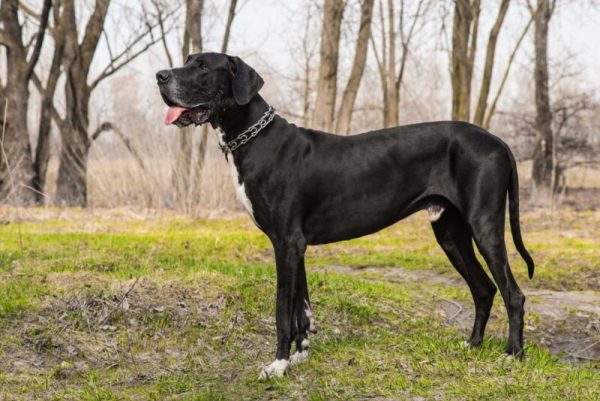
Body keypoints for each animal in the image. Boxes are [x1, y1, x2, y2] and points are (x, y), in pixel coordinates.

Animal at [156, 52, 536, 378]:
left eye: (203, 67)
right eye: (187, 60)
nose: (160, 75)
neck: (254, 138)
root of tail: (500, 142)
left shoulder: (285, 243)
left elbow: (282, 311)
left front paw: (278, 365)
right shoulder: (296, 246)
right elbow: (302, 308)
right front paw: (299, 356)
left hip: (484, 225)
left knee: (513, 293)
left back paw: (512, 355)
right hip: (450, 233)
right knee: (484, 289)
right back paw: (472, 345)